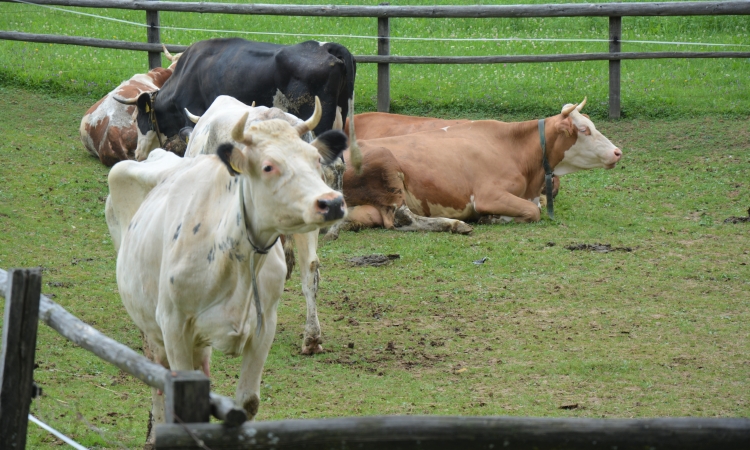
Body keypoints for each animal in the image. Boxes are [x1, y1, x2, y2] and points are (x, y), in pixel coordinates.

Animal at [105, 98, 346, 442]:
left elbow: (247, 402)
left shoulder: (264, 327)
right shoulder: (174, 326)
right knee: (156, 370)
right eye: (268, 166)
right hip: (153, 321)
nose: (332, 202)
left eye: (314, 159)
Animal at [328, 99, 624, 239]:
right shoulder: (487, 195)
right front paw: (491, 218)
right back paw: (455, 225)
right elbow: (533, 212)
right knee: (402, 218)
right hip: (386, 162)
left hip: (365, 209)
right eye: (584, 130)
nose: (617, 152)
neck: (512, 147)